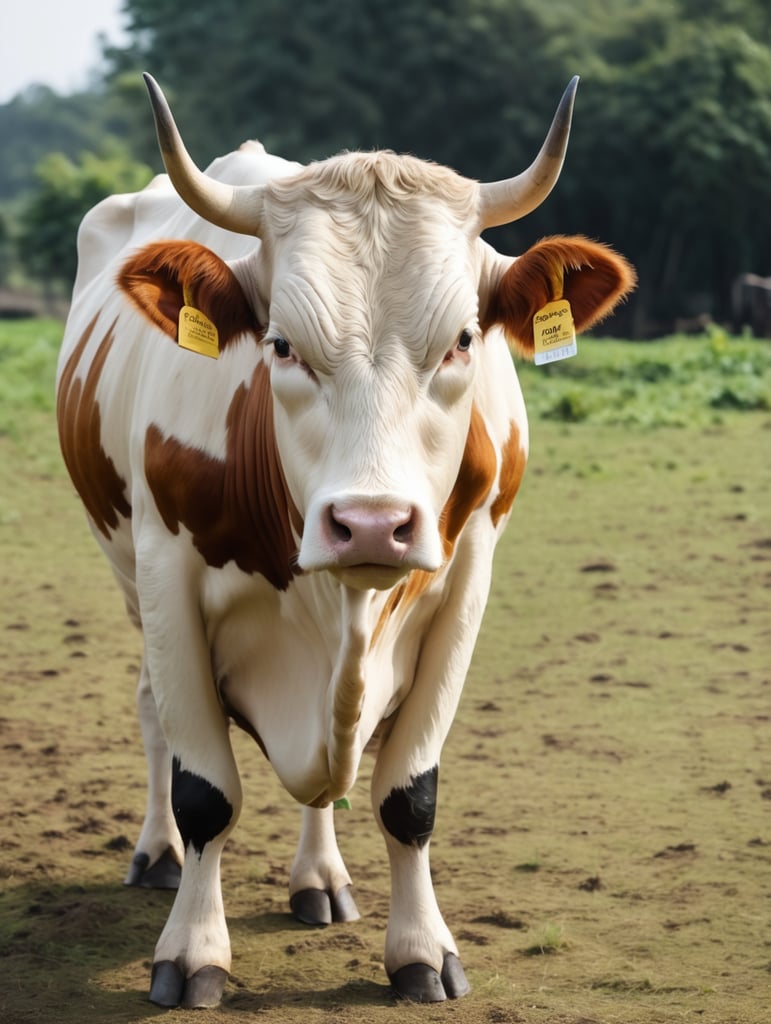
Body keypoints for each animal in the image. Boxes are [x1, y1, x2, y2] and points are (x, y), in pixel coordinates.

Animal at [56, 73, 635, 1009]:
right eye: (281, 346)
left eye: (462, 340)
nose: (370, 523)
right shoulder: (165, 573)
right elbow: (204, 788)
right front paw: (193, 949)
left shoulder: (466, 582)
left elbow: (407, 792)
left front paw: (420, 950)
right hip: (125, 569)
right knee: (153, 714)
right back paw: (156, 853)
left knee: (329, 770)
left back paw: (318, 878)